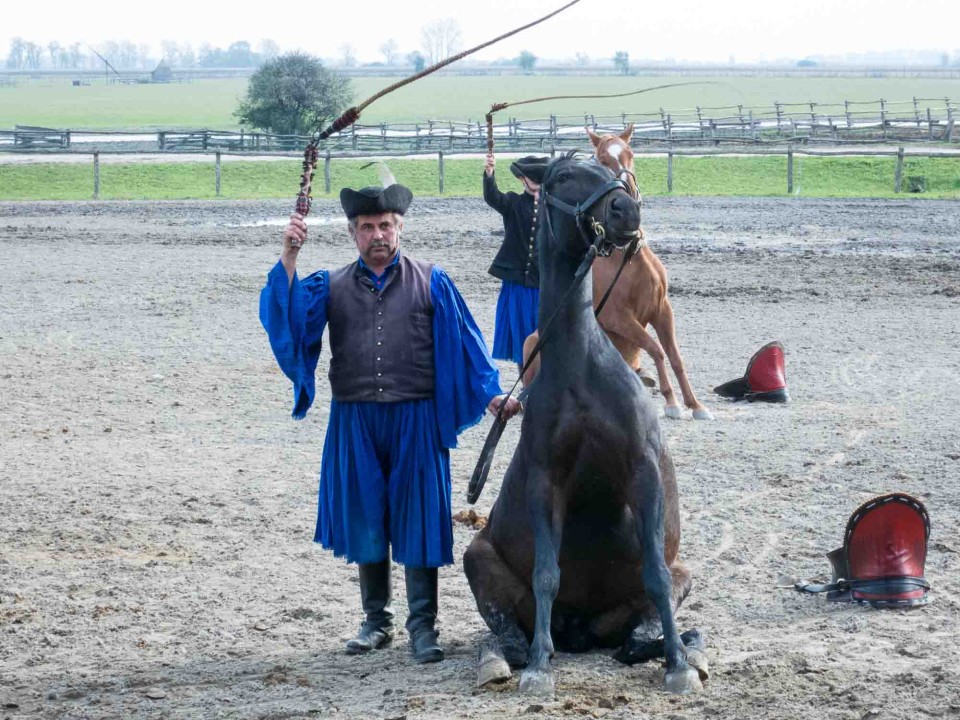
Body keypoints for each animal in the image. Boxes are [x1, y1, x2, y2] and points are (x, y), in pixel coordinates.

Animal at [464, 156, 704, 696]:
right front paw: (538, 668)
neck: (581, 370)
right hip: (477, 558)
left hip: (676, 575)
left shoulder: (642, 472)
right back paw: (506, 658)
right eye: (564, 177)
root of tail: (580, 632)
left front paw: (679, 664)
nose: (625, 209)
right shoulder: (546, 482)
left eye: (611, 169)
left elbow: (656, 576)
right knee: (504, 635)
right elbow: (546, 574)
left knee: (637, 635)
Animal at [524, 126, 712, 422]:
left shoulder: (662, 309)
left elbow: (674, 356)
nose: (628, 205)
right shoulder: (619, 317)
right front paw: (671, 402)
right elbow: (656, 349)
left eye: (630, 154)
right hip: (531, 342)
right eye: (602, 159)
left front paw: (695, 405)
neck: (629, 258)